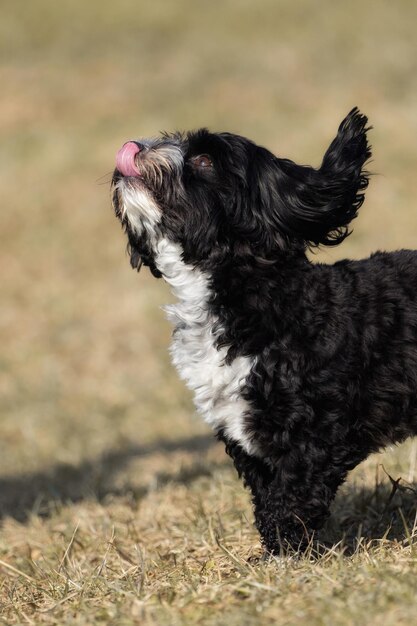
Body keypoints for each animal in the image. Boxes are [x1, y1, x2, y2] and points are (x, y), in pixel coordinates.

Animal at [110, 108, 416, 552]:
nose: (137, 146)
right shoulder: (244, 438)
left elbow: (291, 498)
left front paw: (284, 555)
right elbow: (267, 493)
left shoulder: (316, 435)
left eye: (204, 160)